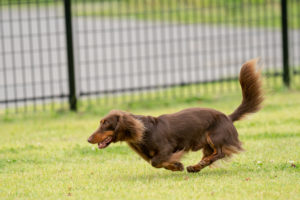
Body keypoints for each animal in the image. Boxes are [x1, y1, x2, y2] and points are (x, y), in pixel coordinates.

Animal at [86, 58, 262, 172]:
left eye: (105, 124)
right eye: (100, 122)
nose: (88, 139)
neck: (143, 131)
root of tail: (228, 117)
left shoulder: (167, 147)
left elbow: (156, 161)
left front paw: (177, 165)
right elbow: (155, 162)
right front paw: (175, 166)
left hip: (215, 137)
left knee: (219, 153)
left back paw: (197, 165)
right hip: (207, 145)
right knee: (211, 155)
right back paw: (195, 167)